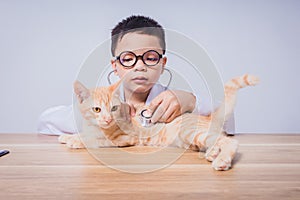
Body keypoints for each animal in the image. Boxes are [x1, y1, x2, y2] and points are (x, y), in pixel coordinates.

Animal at [59, 74, 260, 170]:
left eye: (114, 108)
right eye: (97, 110)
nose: (108, 119)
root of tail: (207, 116)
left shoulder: (124, 139)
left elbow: (95, 140)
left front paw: (75, 140)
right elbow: (84, 133)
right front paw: (66, 136)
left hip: (190, 132)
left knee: (230, 140)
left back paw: (222, 160)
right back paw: (212, 153)